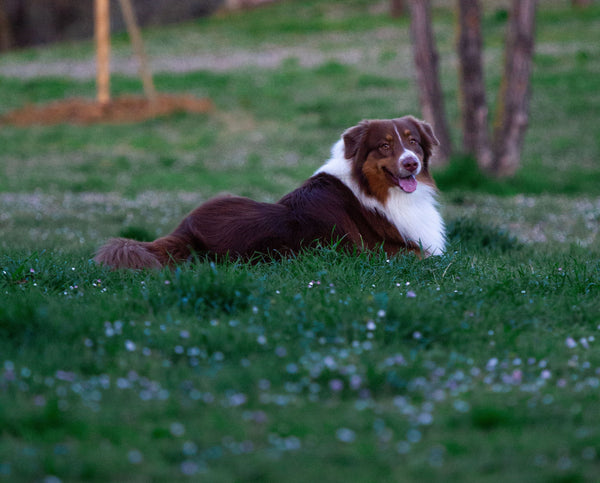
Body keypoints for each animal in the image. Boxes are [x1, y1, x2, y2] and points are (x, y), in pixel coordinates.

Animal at [95, 116, 446, 270]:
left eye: (413, 141)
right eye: (384, 146)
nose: (411, 163)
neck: (372, 189)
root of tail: (185, 230)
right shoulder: (379, 253)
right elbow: (429, 254)